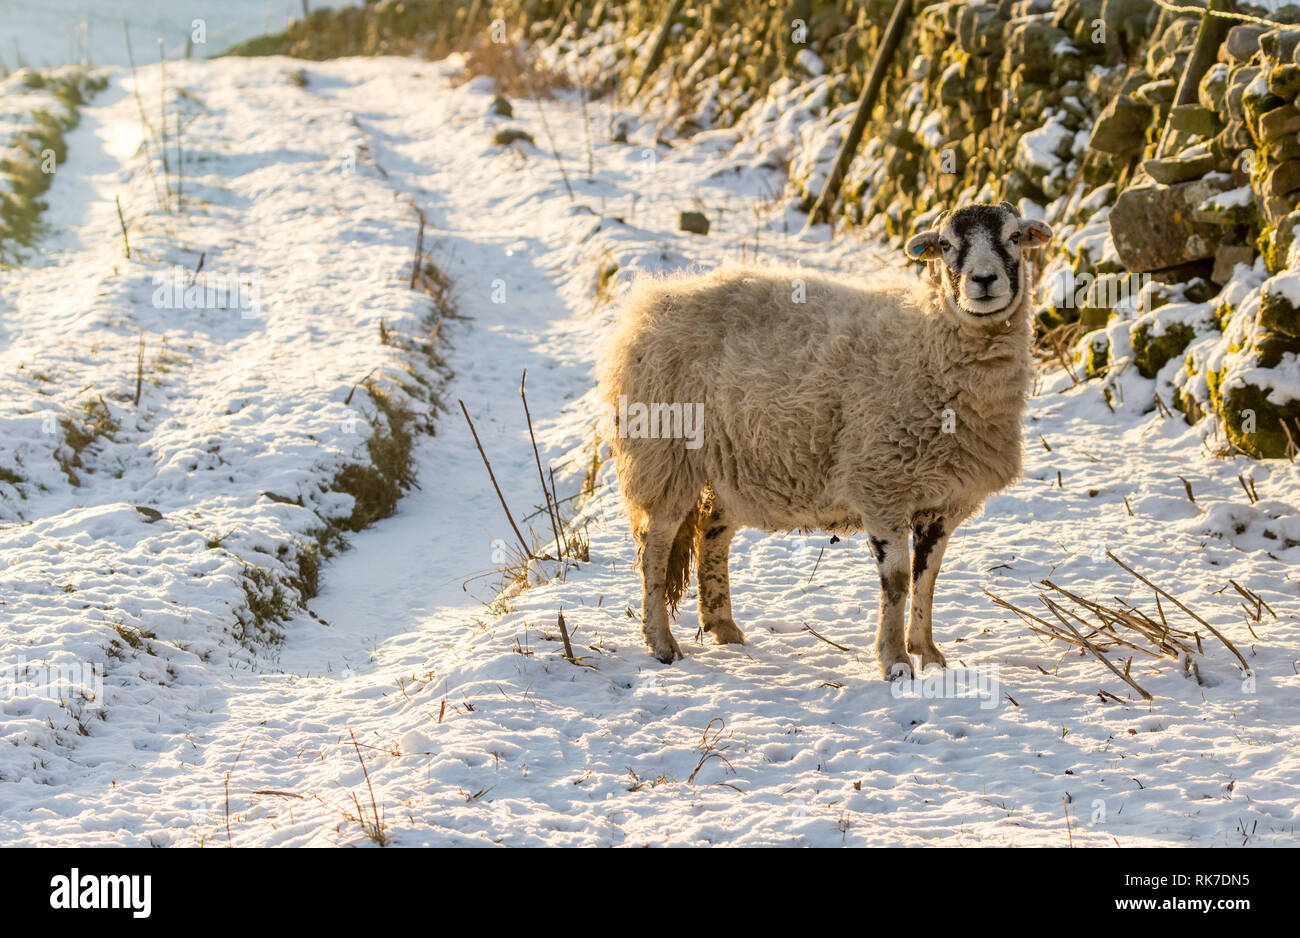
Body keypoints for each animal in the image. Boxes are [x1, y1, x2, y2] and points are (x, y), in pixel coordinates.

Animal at [597, 201, 1052, 679]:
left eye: (1015, 237)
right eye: (945, 244)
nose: (983, 280)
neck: (929, 345)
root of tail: (653, 301)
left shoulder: (944, 500)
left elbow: (927, 577)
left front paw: (928, 653)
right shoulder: (880, 485)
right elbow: (897, 580)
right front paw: (895, 660)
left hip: (734, 463)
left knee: (711, 533)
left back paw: (723, 626)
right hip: (663, 452)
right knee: (656, 546)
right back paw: (661, 642)